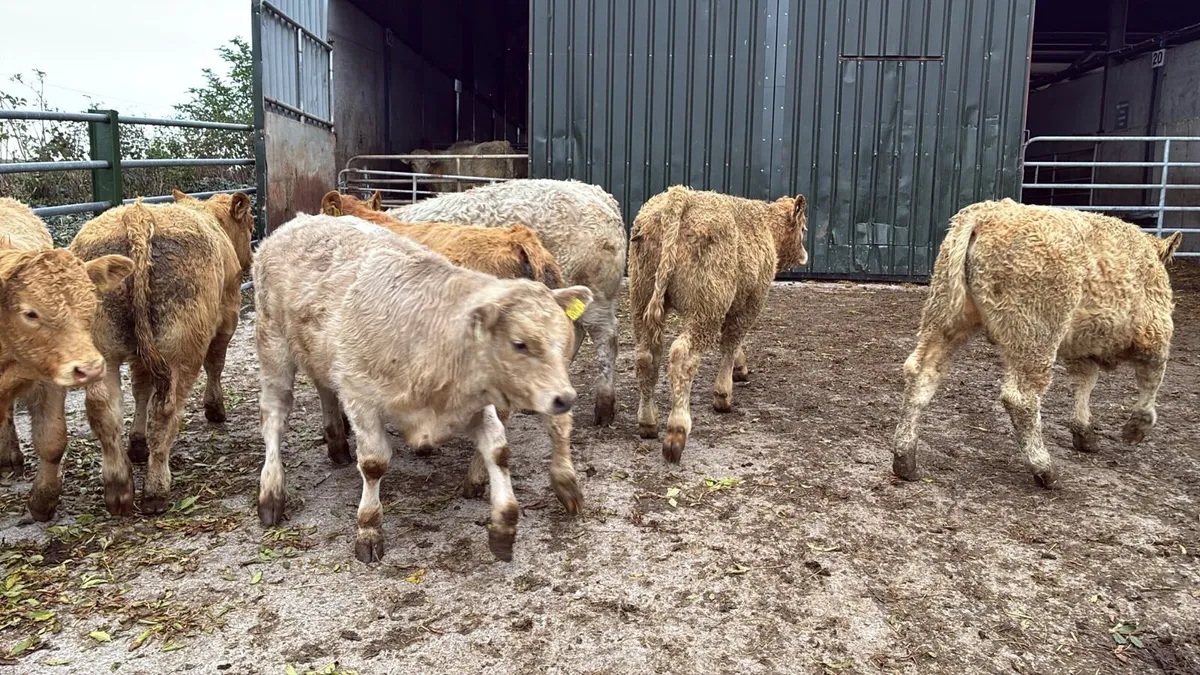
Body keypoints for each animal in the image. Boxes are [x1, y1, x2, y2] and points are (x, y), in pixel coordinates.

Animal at [0, 198, 132, 520]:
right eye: (30, 313)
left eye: (92, 303)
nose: (91, 368)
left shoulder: (48, 379)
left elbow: (52, 439)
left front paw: (43, 500)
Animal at [68, 191, 254, 515]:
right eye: (252, 224)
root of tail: (138, 217)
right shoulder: (227, 319)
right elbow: (215, 365)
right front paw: (215, 409)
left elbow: (141, 388)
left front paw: (137, 442)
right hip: (182, 348)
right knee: (165, 409)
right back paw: (156, 490)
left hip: (102, 352)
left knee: (104, 408)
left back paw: (119, 489)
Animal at [252, 213, 592, 562]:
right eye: (519, 343)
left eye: (563, 339)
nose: (565, 398)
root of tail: (300, 221)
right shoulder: (360, 397)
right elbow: (374, 463)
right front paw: (369, 528)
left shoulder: (473, 405)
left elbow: (498, 451)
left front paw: (504, 525)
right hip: (274, 347)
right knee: (275, 417)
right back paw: (271, 492)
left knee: (324, 390)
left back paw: (336, 443)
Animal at [628, 186, 809, 463]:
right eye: (803, 228)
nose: (804, 255)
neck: (765, 225)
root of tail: (679, 196)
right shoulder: (751, 302)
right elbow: (731, 342)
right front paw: (724, 395)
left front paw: (740, 367)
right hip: (706, 308)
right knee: (682, 356)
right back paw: (677, 430)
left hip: (642, 299)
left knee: (646, 357)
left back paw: (648, 421)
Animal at [893, 198, 1183, 487]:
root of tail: (985, 215)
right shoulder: (1155, 332)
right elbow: (1151, 378)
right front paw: (1137, 426)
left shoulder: (1081, 346)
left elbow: (1085, 381)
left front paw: (1085, 432)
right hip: (1035, 336)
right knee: (1021, 398)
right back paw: (1044, 468)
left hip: (945, 316)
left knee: (922, 373)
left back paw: (905, 459)